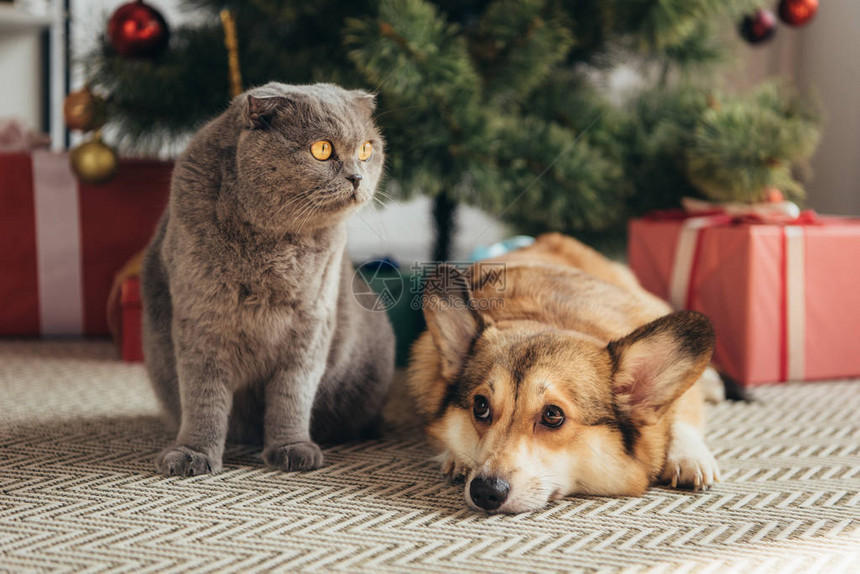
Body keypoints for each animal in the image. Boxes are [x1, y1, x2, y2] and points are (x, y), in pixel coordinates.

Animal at [142, 81, 396, 476]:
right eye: (322, 149)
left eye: (366, 149)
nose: (357, 177)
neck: (277, 248)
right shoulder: (202, 320)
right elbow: (203, 396)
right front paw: (192, 453)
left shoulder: (310, 327)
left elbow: (292, 396)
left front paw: (292, 449)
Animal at [406, 234, 724, 516]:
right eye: (480, 406)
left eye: (552, 415)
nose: (485, 492)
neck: (547, 319)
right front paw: (455, 458)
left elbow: (681, 413)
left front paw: (688, 457)